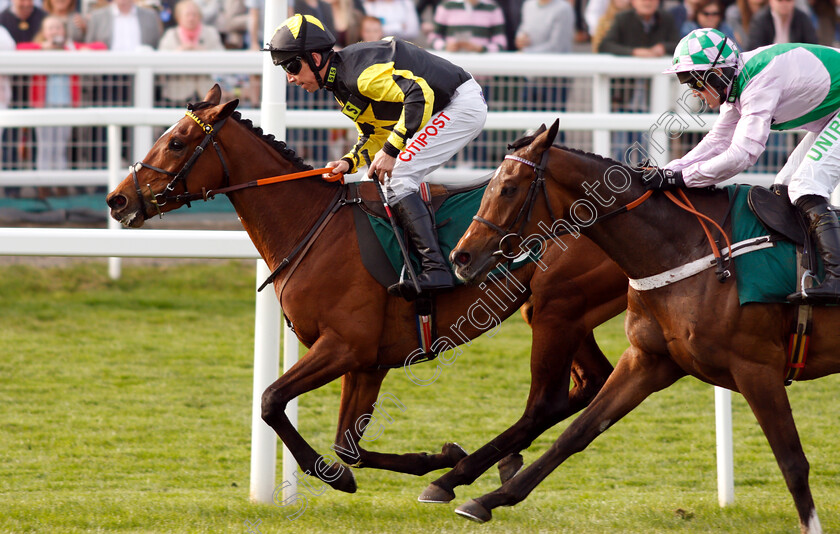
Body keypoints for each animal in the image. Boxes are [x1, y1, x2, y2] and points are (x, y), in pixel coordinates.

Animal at [105, 87, 628, 502]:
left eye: (176, 141)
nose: (117, 199)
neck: (313, 226)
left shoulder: (344, 345)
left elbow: (272, 401)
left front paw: (335, 477)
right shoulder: (367, 361)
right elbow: (346, 445)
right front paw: (432, 456)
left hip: (559, 310)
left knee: (549, 401)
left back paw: (465, 477)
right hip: (556, 311)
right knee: (589, 383)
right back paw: (487, 464)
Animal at [450, 119, 836, 532]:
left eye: (508, 187)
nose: (461, 256)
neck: (692, 249)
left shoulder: (757, 368)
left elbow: (792, 460)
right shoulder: (648, 359)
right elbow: (577, 432)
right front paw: (487, 499)